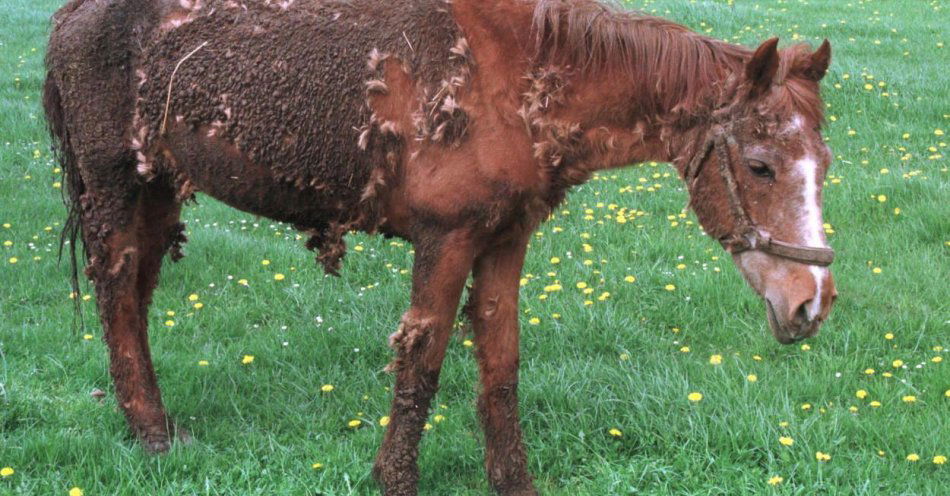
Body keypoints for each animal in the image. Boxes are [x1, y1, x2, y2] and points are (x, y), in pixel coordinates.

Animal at [42, 0, 840, 492]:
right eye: (761, 166)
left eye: (824, 165)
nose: (811, 304)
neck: (516, 75)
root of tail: (72, 16)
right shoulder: (447, 242)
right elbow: (421, 363)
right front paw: (393, 477)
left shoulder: (504, 242)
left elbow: (500, 366)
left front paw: (513, 481)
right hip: (118, 190)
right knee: (117, 295)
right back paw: (151, 433)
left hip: (157, 191)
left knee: (136, 297)